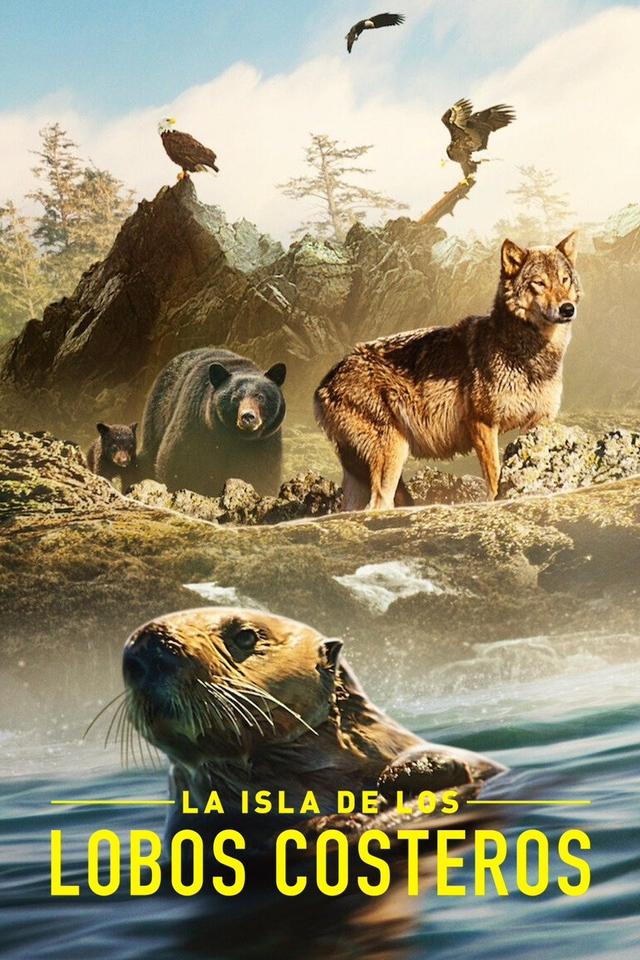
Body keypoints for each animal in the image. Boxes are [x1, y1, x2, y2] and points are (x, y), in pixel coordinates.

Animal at [315, 233, 580, 510]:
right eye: (539, 283)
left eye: (564, 279)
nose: (567, 309)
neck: (528, 354)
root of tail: (324, 382)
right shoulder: (483, 423)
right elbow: (494, 477)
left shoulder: (538, 425)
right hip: (393, 454)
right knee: (378, 504)